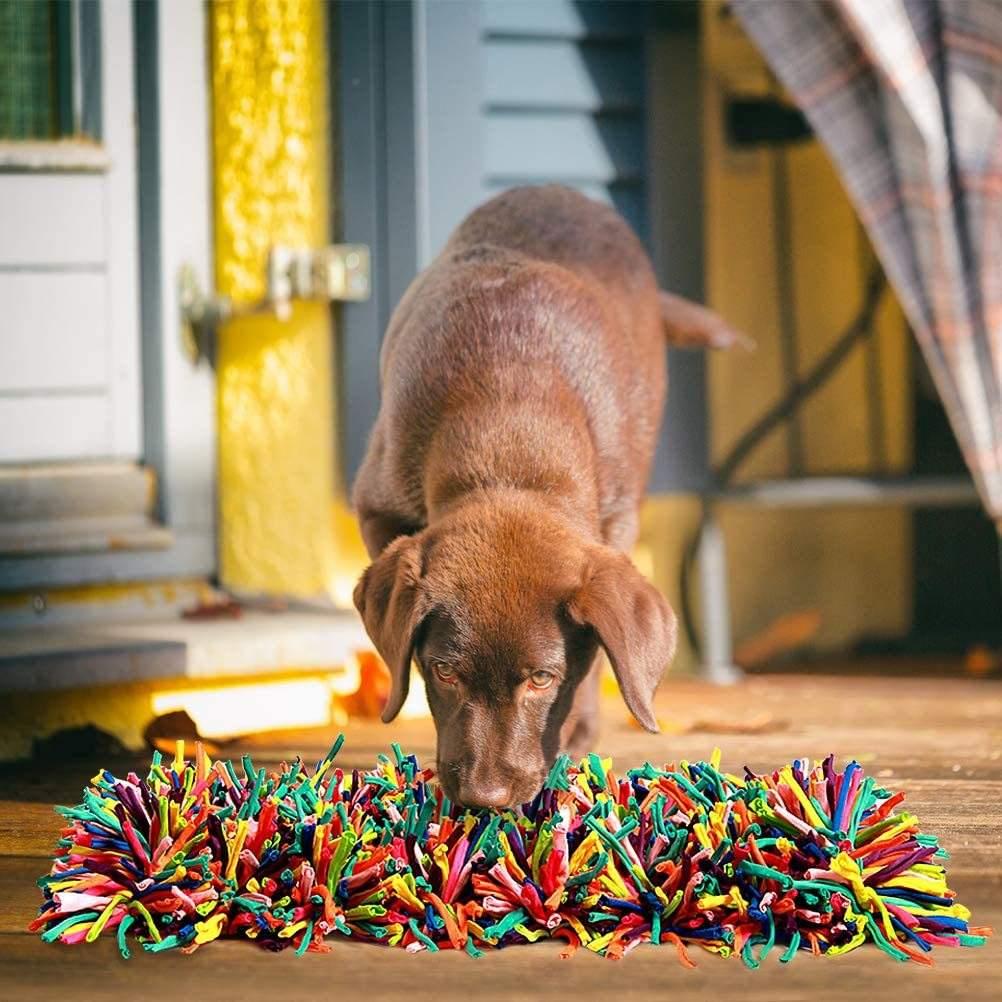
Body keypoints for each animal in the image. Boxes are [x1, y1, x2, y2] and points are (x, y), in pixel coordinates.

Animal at [352, 184, 737, 805]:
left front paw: (576, 730)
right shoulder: (378, 508)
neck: (510, 418)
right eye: (444, 672)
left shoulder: (615, 526)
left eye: (541, 679)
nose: (484, 798)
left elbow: (602, 654)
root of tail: (558, 190)